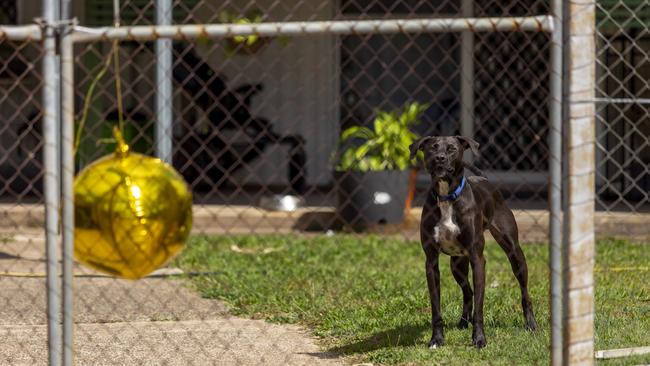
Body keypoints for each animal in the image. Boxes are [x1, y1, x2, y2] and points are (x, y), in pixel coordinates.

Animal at [408, 135, 536, 348]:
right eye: (432, 148)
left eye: (451, 149)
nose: (440, 158)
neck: (447, 197)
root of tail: (485, 180)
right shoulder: (431, 262)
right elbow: (436, 308)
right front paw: (437, 339)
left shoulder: (478, 260)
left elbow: (480, 306)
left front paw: (479, 339)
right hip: (457, 264)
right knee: (468, 292)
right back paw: (462, 322)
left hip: (515, 253)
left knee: (524, 290)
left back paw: (531, 324)